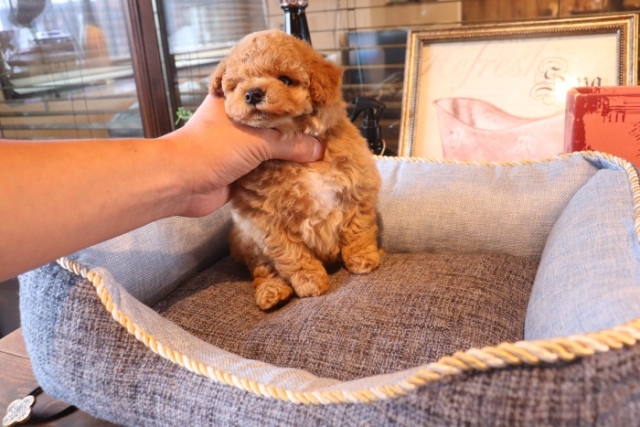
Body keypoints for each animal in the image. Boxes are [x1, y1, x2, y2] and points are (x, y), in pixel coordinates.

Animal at [209, 30, 382, 310]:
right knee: (262, 270)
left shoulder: (358, 187)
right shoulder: (266, 222)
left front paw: (363, 258)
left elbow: (359, 227)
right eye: (236, 85)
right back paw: (272, 292)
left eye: (285, 80)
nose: (252, 93)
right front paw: (310, 281)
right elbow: (292, 254)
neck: (291, 131)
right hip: (247, 242)